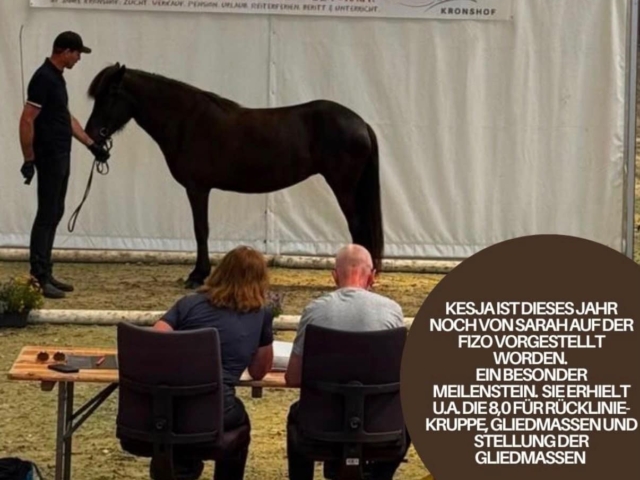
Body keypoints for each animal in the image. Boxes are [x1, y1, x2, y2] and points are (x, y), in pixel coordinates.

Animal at [85, 63, 384, 288]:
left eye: (111, 93)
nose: (91, 134)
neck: (186, 120)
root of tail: (360, 122)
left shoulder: (197, 188)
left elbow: (201, 229)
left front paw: (197, 275)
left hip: (343, 186)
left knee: (357, 226)